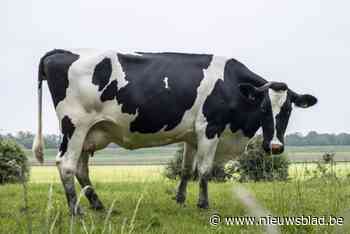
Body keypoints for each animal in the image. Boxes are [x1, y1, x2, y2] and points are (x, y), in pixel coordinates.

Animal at [32, 49, 318, 214]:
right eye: (263, 107)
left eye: (288, 109)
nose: (275, 147)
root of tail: (64, 54)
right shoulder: (209, 128)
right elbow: (205, 170)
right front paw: (203, 204)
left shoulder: (192, 135)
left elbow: (186, 169)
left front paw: (180, 199)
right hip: (75, 125)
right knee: (66, 165)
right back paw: (76, 209)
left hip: (89, 131)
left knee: (81, 168)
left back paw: (97, 204)